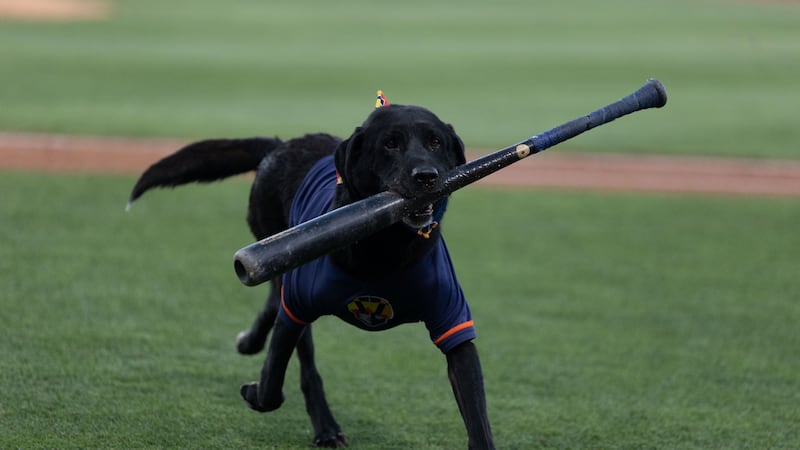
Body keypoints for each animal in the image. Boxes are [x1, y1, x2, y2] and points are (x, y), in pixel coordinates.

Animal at [127, 103, 494, 448]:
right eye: (390, 144)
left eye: (435, 142)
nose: (427, 176)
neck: (385, 251)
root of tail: (280, 145)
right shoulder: (298, 307)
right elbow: (274, 386)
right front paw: (255, 393)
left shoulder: (452, 322)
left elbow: (476, 414)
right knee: (301, 356)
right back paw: (326, 427)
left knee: (272, 302)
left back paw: (251, 342)